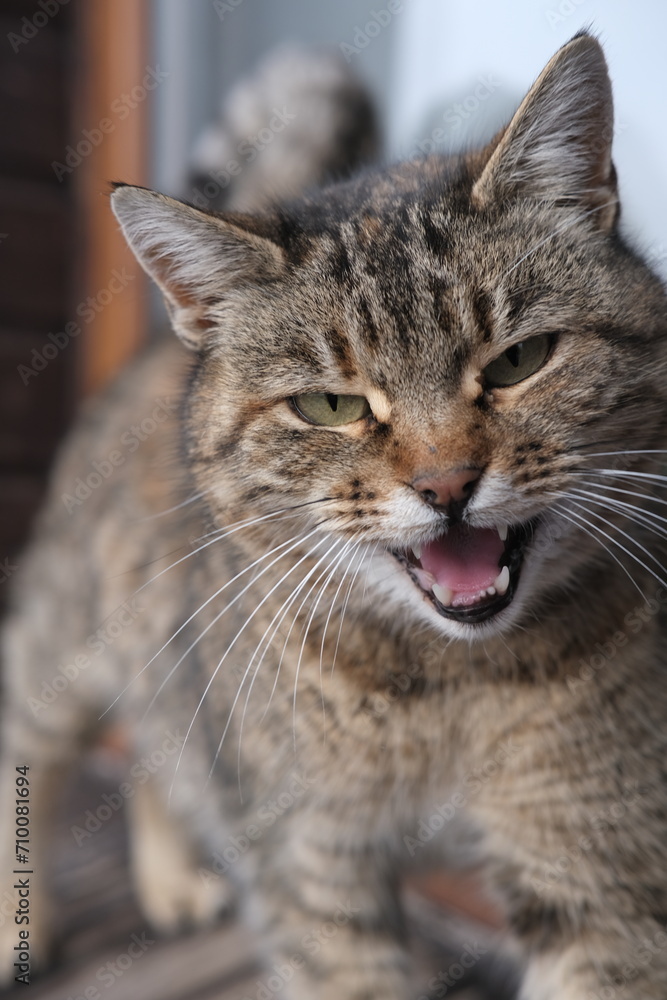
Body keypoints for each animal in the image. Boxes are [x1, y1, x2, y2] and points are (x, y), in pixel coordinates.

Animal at [1, 31, 667, 1000]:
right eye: (329, 406)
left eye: (520, 360)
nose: (447, 484)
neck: (446, 683)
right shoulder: (313, 866)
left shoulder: (597, 877)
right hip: (61, 648)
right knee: (32, 751)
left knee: (162, 761)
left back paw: (170, 881)